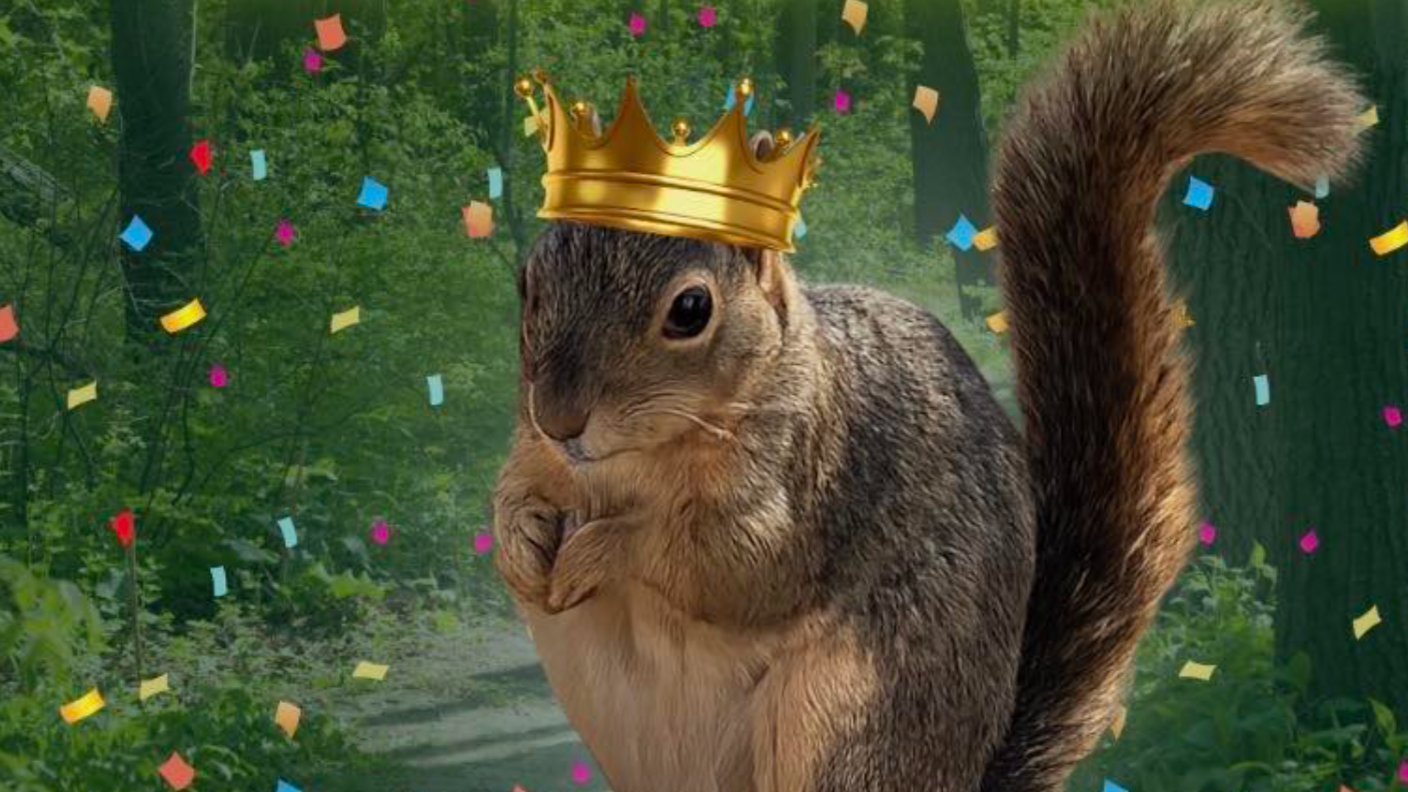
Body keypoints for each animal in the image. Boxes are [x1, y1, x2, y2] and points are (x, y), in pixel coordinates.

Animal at [490, 1, 1365, 790]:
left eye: (691, 310)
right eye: (528, 282)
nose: (559, 418)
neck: (634, 461)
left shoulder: (814, 482)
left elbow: (728, 563)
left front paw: (602, 550)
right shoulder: (533, 455)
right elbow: (514, 494)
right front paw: (523, 544)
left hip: (853, 724)